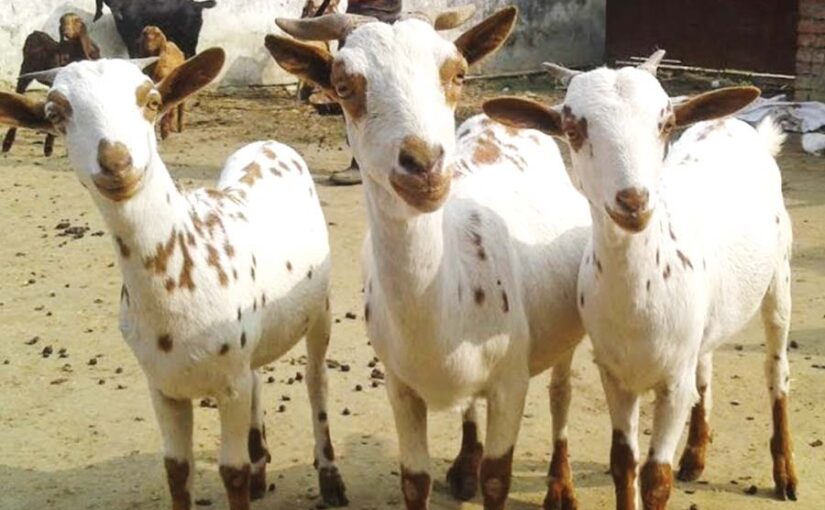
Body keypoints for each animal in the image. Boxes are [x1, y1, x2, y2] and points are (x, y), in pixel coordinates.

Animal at [0, 49, 348, 510]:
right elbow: (177, 471)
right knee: (259, 375)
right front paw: (245, 470)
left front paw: (249, 475)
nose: (116, 162)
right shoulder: (163, 387)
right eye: (55, 114)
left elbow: (231, 472)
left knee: (316, 381)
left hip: (320, 308)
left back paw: (329, 477)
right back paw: (261, 467)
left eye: (150, 101)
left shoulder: (229, 385)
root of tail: (268, 143)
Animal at [2, 13, 99, 157]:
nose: (66, 32)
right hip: (24, 72)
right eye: (62, 22)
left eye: (77, 21)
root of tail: (35, 33)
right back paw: (8, 144)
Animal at [267, 6, 590, 509]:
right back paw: (463, 467)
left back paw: (561, 486)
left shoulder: (510, 381)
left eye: (457, 73)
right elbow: (414, 479)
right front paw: (456, 470)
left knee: (561, 392)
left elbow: (498, 478)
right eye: (343, 85)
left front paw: (494, 477)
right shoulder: (400, 387)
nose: (424, 167)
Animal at [483, 52, 797, 509]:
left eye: (665, 124)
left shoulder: (673, 384)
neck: (640, 300)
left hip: (780, 277)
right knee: (707, 362)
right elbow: (623, 464)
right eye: (573, 130)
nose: (633, 201)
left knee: (776, 369)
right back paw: (696, 454)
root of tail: (738, 126)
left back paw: (785, 472)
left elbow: (655, 477)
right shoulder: (615, 375)